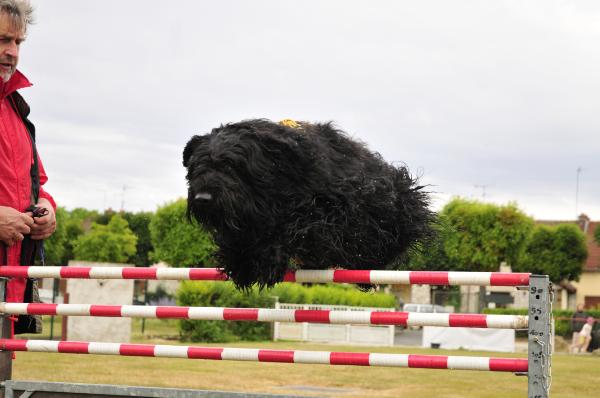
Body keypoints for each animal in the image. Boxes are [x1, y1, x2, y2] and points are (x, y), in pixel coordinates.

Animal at [182, 119, 432, 290]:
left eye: (232, 165)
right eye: (197, 166)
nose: (203, 198)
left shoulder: (334, 210)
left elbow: (296, 226)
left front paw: (265, 259)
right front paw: (241, 261)